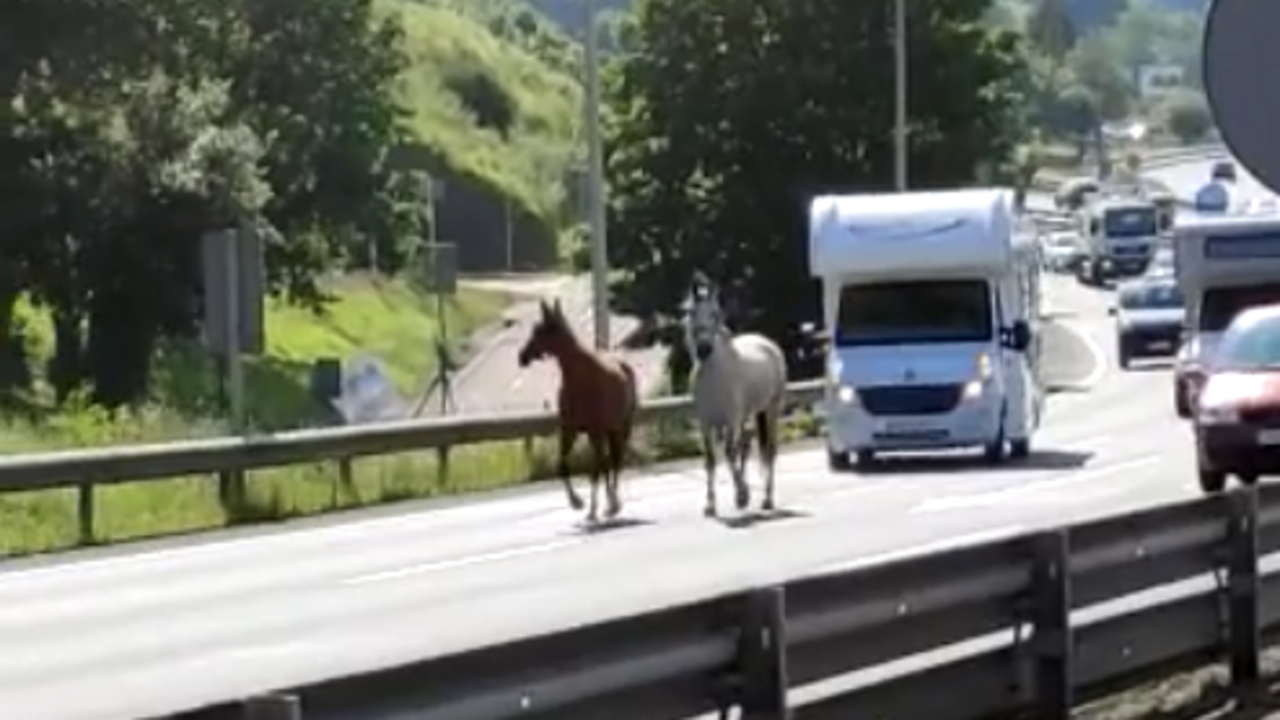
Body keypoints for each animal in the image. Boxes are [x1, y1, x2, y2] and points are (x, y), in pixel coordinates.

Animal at [518, 298, 639, 523]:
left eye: (541, 330)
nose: (522, 356)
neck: (578, 378)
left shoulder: (595, 430)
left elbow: (595, 470)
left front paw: (591, 509)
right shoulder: (569, 429)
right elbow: (562, 466)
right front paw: (577, 502)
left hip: (621, 427)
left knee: (614, 462)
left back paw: (613, 505)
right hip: (605, 432)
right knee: (607, 462)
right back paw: (608, 503)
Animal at [683, 273, 788, 517]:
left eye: (715, 313)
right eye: (691, 312)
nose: (704, 349)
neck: (714, 376)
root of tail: (768, 343)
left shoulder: (731, 420)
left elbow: (729, 452)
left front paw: (742, 496)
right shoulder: (705, 423)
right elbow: (710, 459)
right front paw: (710, 505)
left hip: (771, 408)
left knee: (769, 450)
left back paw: (767, 499)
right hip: (748, 415)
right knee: (746, 444)